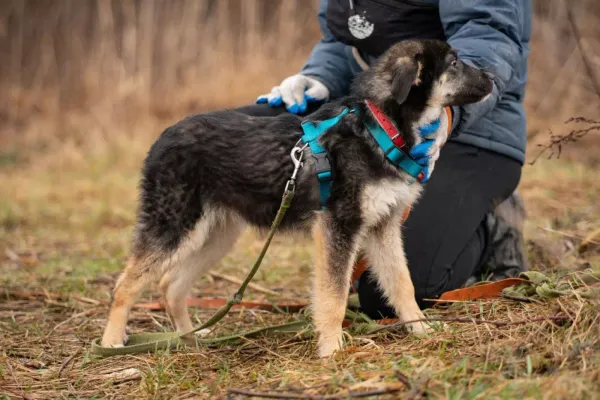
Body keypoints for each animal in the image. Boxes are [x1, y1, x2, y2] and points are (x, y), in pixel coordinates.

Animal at [99, 39, 492, 356]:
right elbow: (333, 295)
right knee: (125, 284)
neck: (379, 128)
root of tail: (163, 136)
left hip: (216, 235)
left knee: (171, 285)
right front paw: (332, 349)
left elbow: (402, 284)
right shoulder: (338, 227)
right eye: (454, 63)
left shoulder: (384, 226)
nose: (493, 79)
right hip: (173, 225)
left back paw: (189, 338)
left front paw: (420, 329)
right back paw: (112, 341)